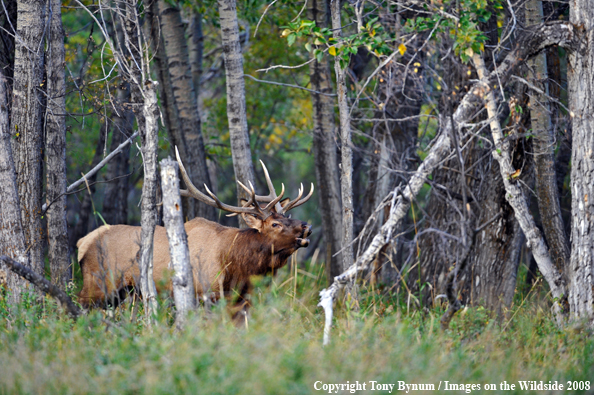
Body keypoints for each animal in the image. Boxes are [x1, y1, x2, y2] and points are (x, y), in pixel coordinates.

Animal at [76, 152, 312, 318]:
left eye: (287, 216)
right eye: (275, 224)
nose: (306, 226)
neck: (236, 266)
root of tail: (82, 242)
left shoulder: (240, 300)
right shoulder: (205, 293)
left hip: (126, 291)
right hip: (99, 283)